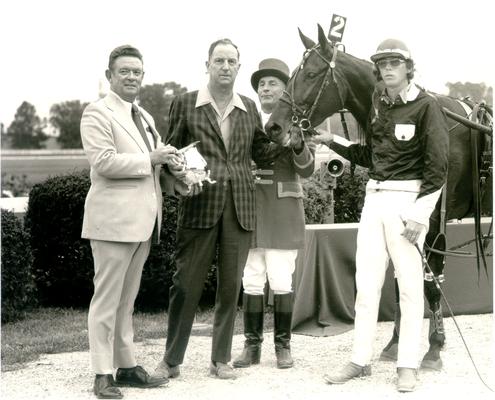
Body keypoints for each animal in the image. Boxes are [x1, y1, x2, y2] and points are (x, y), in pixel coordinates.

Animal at [266, 24, 494, 368]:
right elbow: (401, 284)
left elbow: (430, 285)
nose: (274, 127)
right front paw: (396, 343)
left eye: (311, 74)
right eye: (292, 74)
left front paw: (435, 347)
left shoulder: (432, 225)